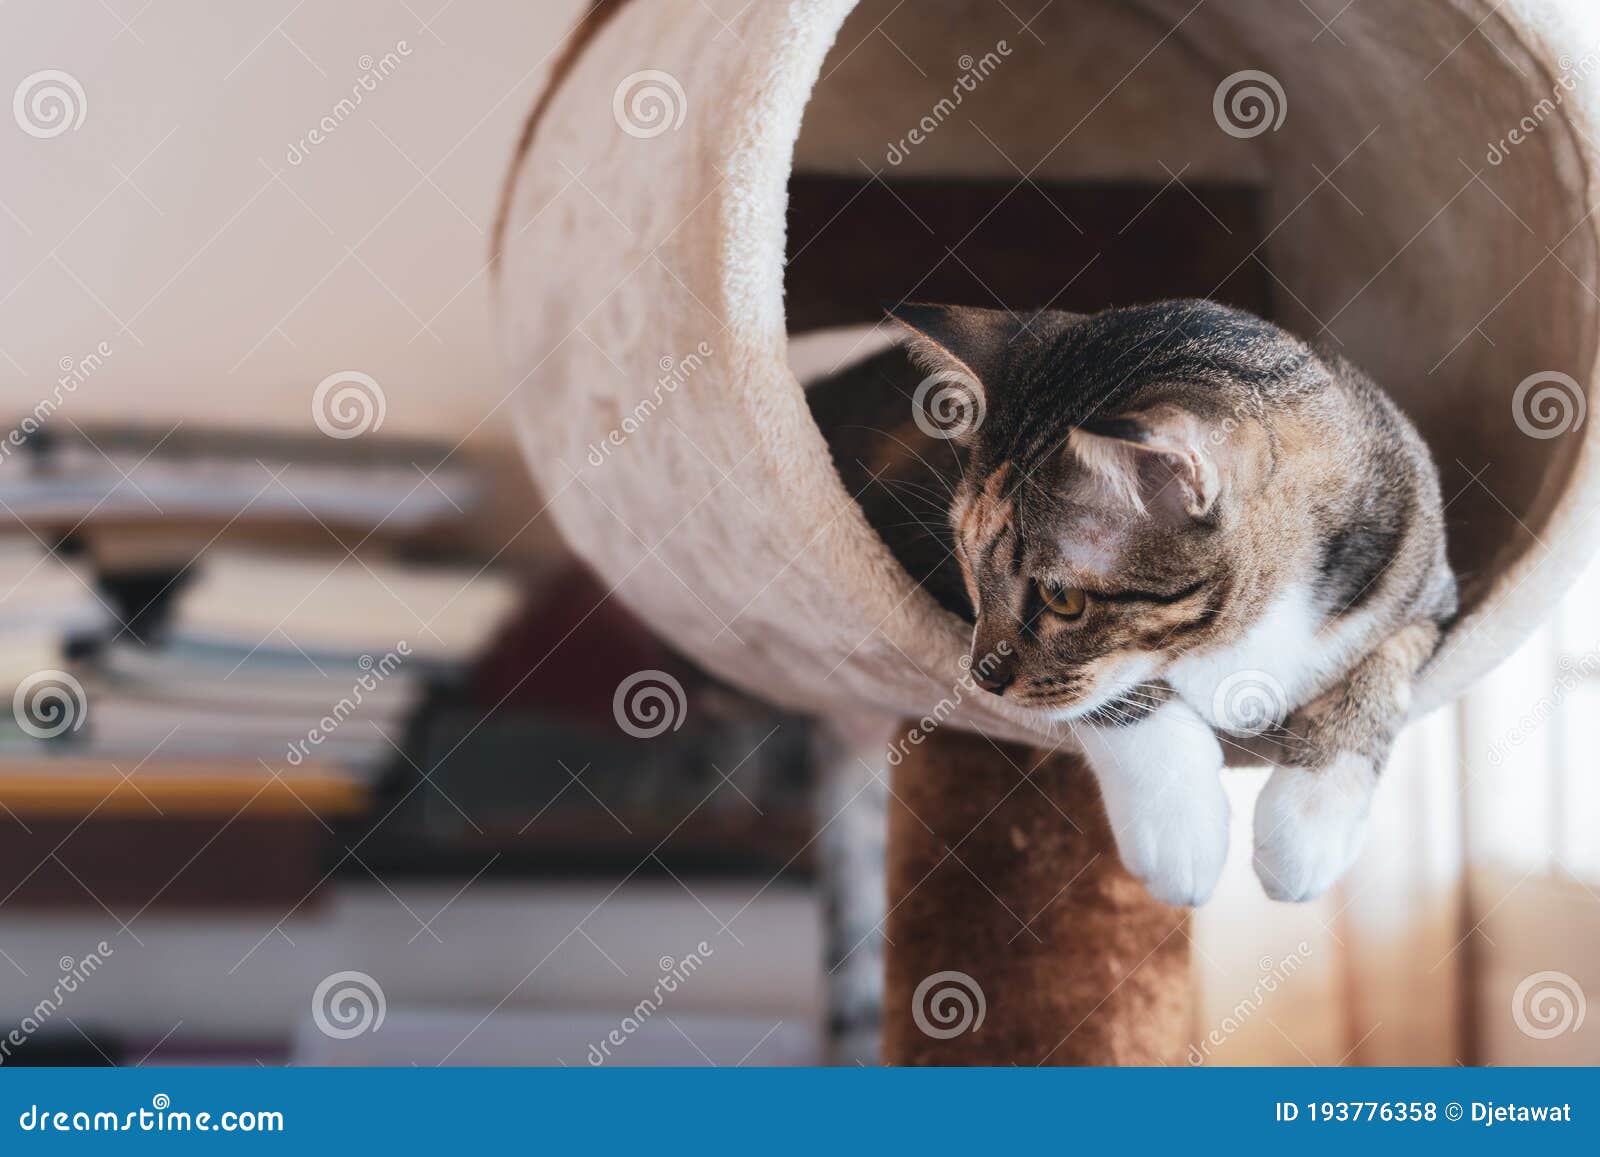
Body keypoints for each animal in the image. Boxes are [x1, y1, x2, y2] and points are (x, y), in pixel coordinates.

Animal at [806, 302, 1459, 908]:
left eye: (1062, 598)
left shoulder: (1422, 581)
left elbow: (1384, 666)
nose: (981, 679)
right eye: (966, 561)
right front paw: (1179, 825)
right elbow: (1106, 692)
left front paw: (1310, 823)